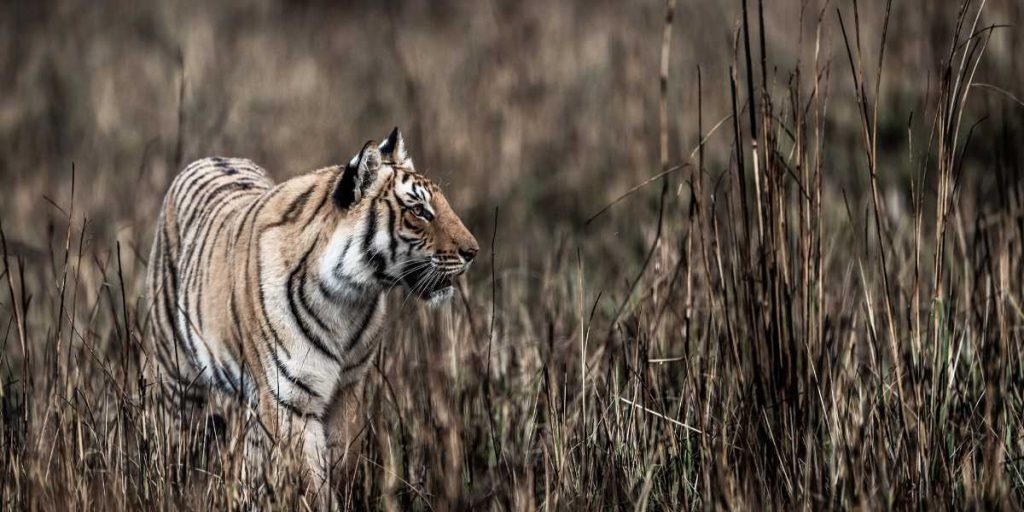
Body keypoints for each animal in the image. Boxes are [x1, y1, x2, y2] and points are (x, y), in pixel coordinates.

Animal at [142, 127, 478, 500]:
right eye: (419, 211)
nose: (473, 251)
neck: (349, 297)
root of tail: (214, 157)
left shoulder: (347, 391)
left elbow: (342, 461)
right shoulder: (290, 401)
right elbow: (311, 481)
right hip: (175, 375)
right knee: (172, 437)